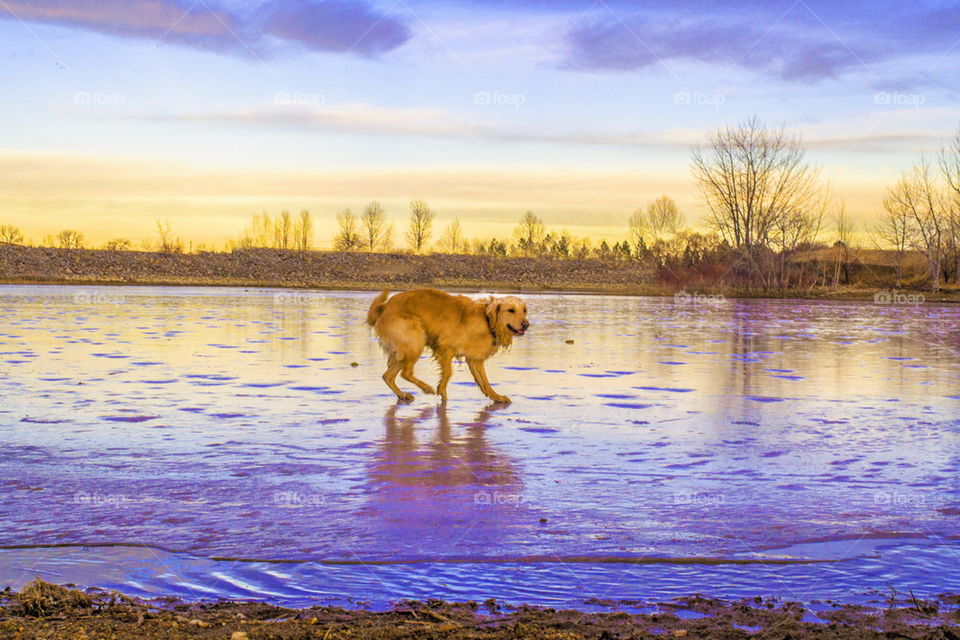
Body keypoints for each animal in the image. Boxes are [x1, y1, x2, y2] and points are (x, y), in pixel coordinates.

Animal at [370, 290, 532, 404]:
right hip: (416, 338)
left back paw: (402, 394)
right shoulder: (445, 347)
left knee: (388, 376)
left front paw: (496, 397)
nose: (526, 324)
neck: (486, 320)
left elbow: (485, 382)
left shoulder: (475, 360)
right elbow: (448, 373)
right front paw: (442, 395)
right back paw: (426, 388)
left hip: (404, 349)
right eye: (511, 310)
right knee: (406, 373)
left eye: (524, 310)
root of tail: (384, 306)